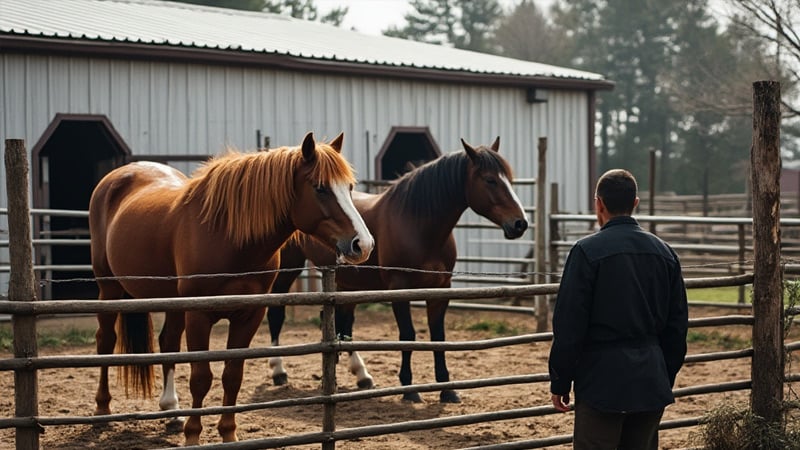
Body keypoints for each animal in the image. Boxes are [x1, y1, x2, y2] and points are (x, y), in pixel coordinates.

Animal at [87, 132, 376, 444]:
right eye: (320, 188)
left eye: (349, 187)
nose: (363, 244)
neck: (227, 237)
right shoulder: (198, 316)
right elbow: (201, 377)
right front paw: (193, 436)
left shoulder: (249, 315)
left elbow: (232, 375)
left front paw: (228, 434)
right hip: (108, 288)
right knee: (106, 340)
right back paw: (102, 409)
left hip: (171, 301)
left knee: (169, 342)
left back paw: (172, 411)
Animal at [268, 136, 532, 400]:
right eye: (490, 180)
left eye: (509, 178)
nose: (520, 223)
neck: (418, 225)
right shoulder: (399, 288)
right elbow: (407, 335)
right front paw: (409, 389)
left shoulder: (441, 289)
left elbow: (439, 337)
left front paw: (446, 389)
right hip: (288, 269)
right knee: (276, 314)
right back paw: (279, 370)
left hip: (348, 282)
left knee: (341, 322)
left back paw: (361, 375)